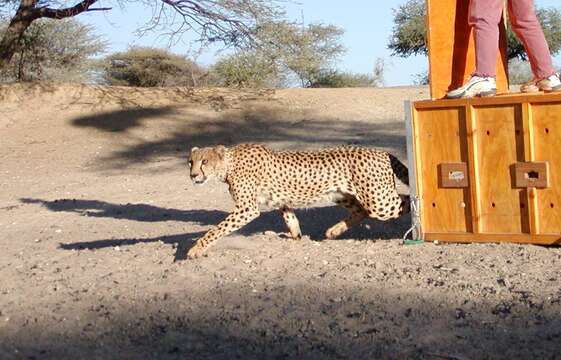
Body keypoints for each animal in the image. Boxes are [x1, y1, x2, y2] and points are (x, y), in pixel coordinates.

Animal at [186, 143, 410, 258]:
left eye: (204, 161)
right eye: (190, 162)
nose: (193, 175)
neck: (229, 164)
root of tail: (382, 151)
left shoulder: (247, 209)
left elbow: (217, 229)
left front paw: (196, 248)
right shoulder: (279, 200)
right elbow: (290, 217)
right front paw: (296, 235)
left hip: (379, 201)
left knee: (406, 200)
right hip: (340, 194)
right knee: (361, 211)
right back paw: (334, 231)